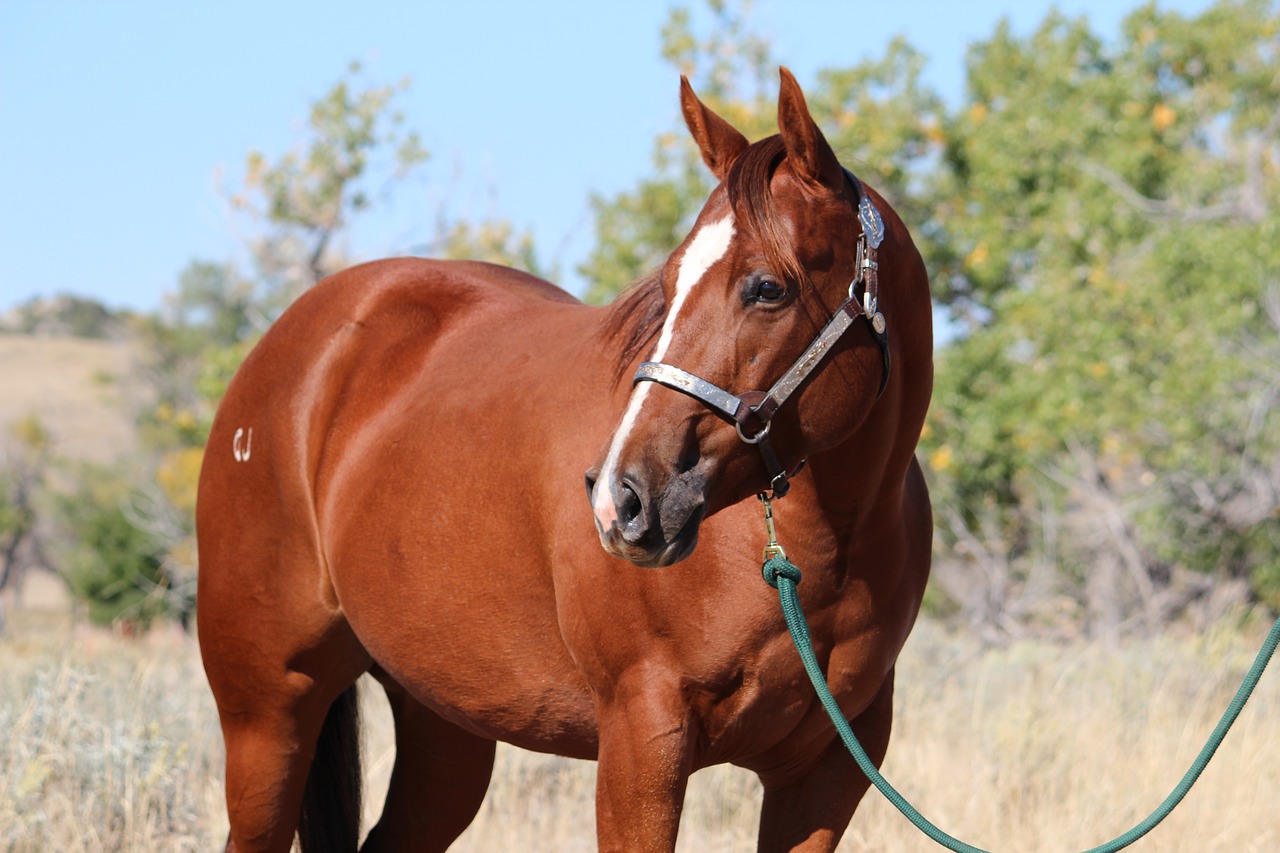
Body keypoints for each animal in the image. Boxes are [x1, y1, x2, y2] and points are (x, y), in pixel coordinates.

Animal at [197, 68, 931, 850]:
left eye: (770, 287)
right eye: (668, 285)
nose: (623, 498)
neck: (817, 551)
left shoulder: (826, 773)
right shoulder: (642, 740)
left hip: (444, 726)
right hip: (268, 716)